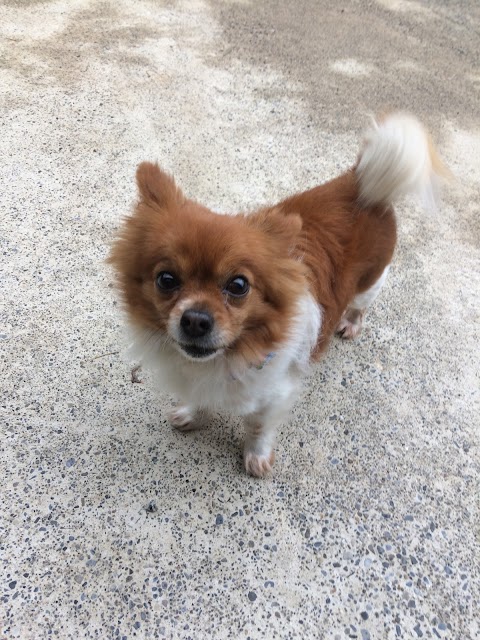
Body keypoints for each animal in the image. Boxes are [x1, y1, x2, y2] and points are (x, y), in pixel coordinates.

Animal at [109, 114, 446, 476]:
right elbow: (202, 400)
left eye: (238, 285)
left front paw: (256, 458)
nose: (196, 320)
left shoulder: (274, 395)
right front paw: (192, 414)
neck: (232, 353)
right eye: (166, 279)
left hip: (370, 284)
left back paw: (352, 324)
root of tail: (361, 184)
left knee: (360, 306)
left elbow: (258, 427)